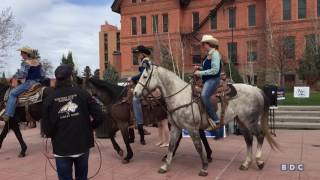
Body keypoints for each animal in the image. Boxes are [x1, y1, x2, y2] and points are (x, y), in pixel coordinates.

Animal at [132, 64, 278, 176]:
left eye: (144, 76)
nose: (135, 93)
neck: (180, 97)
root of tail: (256, 89)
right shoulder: (176, 127)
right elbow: (172, 146)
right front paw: (165, 166)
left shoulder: (192, 129)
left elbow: (198, 147)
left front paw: (204, 167)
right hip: (241, 122)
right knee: (249, 139)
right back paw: (246, 163)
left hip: (250, 121)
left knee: (260, 136)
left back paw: (259, 161)